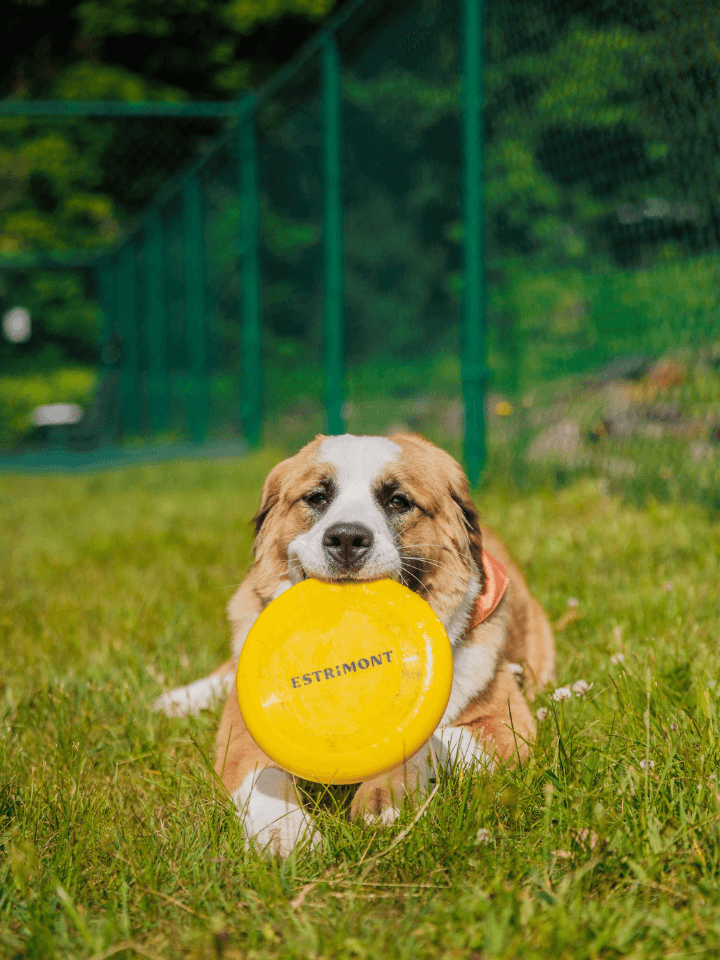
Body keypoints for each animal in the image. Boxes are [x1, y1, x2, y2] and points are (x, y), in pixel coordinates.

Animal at [155, 436, 556, 856]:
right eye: (317, 497)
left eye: (398, 501)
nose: (347, 538)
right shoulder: (242, 738)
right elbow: (263, 776)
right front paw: (285, 832)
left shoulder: (508, 726)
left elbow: (423, 739)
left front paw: (385, 796)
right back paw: (177, 700)